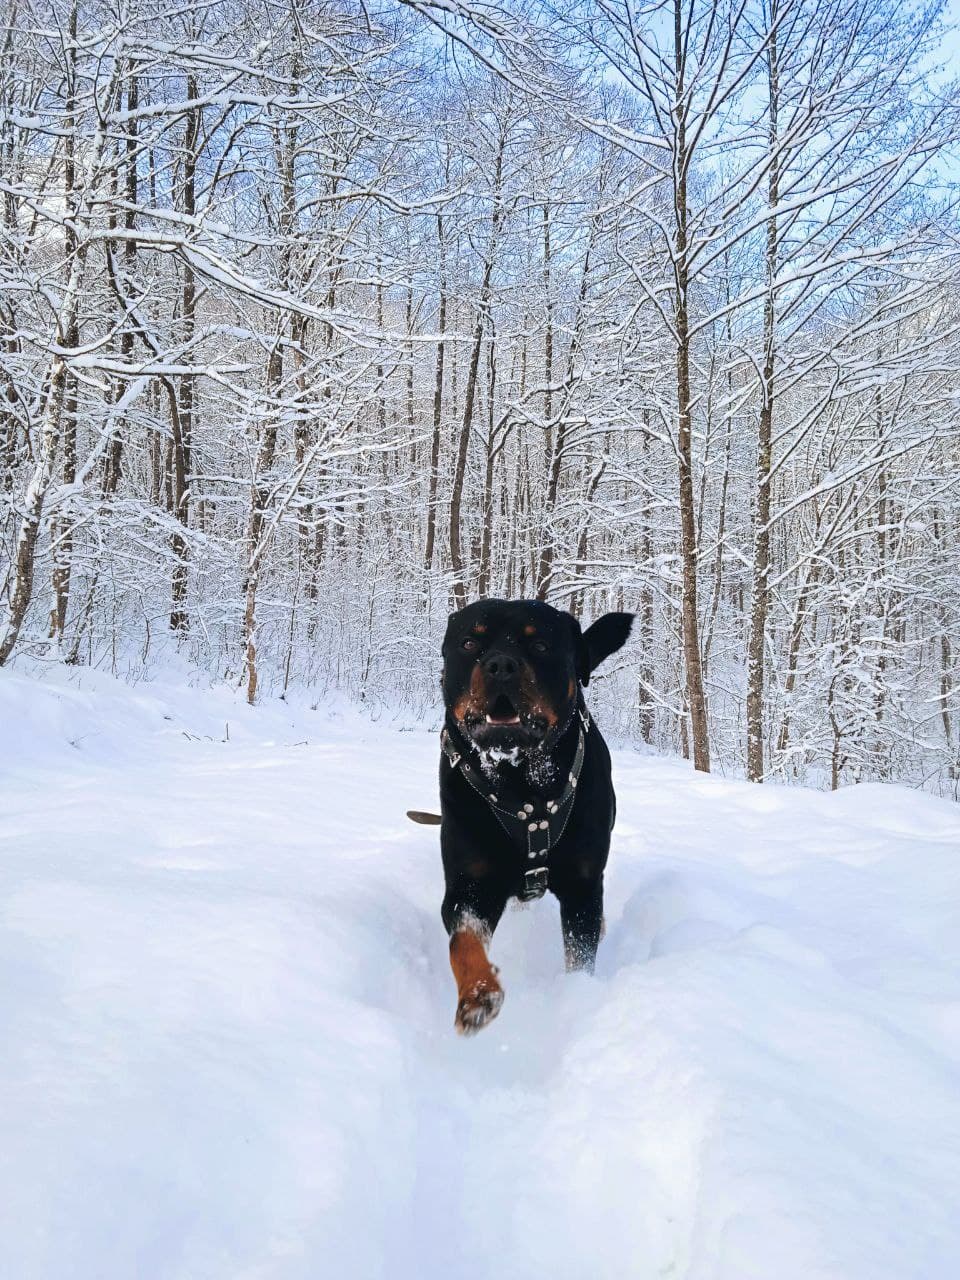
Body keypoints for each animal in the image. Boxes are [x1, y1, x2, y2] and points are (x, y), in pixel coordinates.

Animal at [435, 604, 632, 1034]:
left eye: (540, 644)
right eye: (469, 642)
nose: (501, 665)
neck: (523, 788)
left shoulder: (582, 885)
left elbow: (581, 954)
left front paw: (575, 999)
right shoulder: (469, 883)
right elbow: (464, 940)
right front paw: (478, 993)